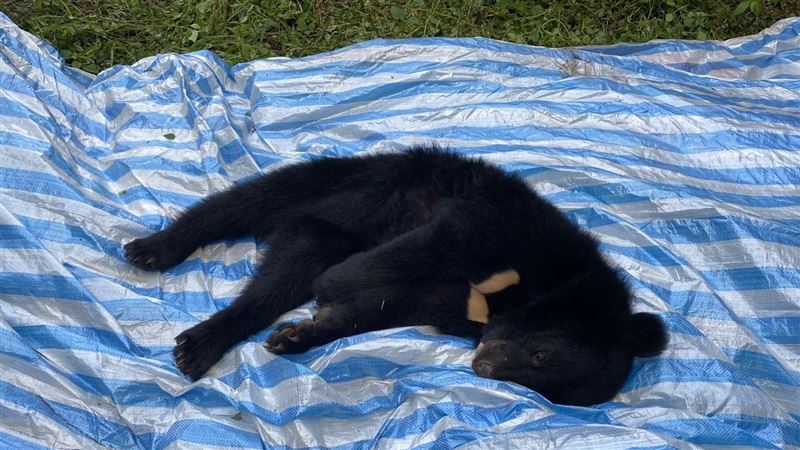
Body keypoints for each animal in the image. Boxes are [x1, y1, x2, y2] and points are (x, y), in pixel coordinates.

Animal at [124, 145, 667, 406]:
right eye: (540, 354)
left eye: (542, 389)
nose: (482, 367)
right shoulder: (499, 226)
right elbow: (418, 248)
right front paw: (332, 287)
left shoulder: (445, 304)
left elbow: (378, 309)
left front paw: (299, 334)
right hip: (363, 183)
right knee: (248, 202)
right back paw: (153, 249)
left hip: (320, 226)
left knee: (277, 278)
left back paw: (201, 344)